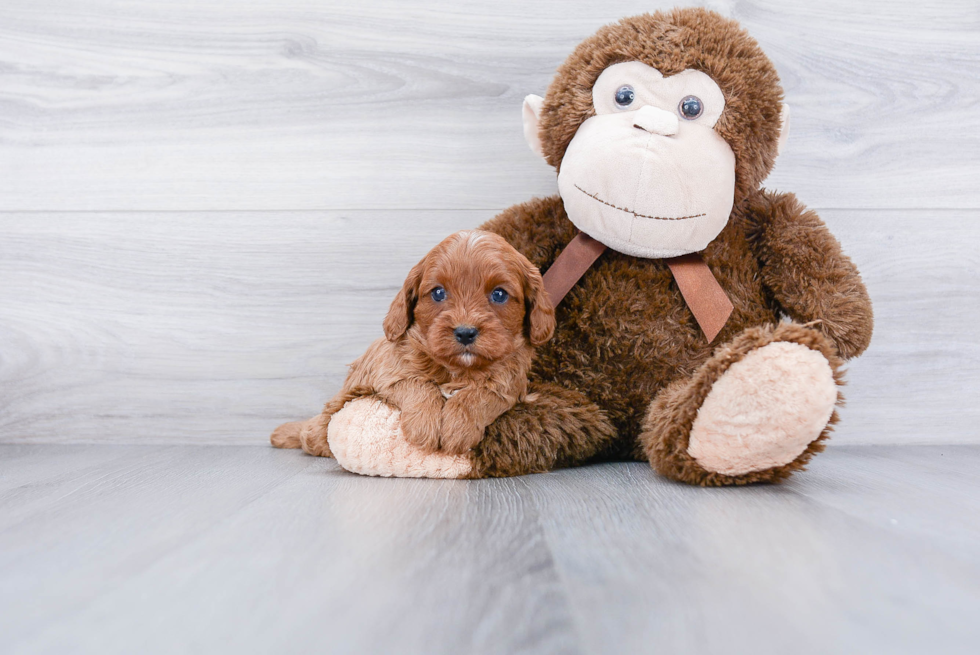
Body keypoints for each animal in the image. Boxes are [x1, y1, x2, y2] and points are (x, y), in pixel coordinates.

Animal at [272, 231, 556, 456]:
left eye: (499, 294)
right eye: (438, 292)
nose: (465, 333)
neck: (457, 370)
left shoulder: (509, 385)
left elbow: (479, 394)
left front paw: (458, 427)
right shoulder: (388, 373)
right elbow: (418, 384)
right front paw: (424, 426)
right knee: (311, 434)